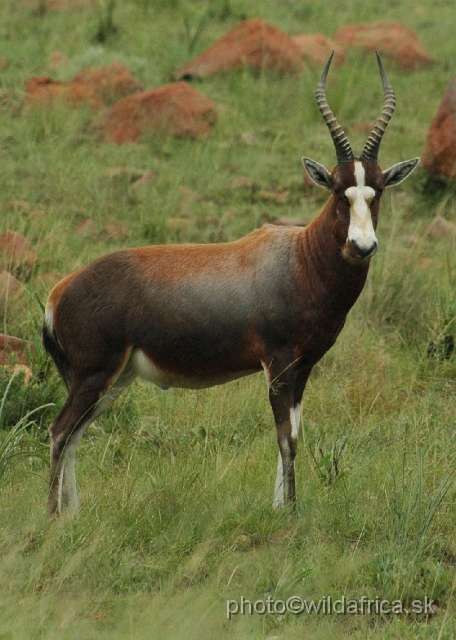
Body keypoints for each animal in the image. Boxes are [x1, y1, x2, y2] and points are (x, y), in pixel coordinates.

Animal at [43, 52, 420, 516]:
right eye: (337, 190)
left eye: (378, 191)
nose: (362, 246)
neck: (298, 256)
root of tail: (59, 292)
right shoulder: (278, 363)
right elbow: (286, 439)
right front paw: (290, 513)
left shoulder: (304, 368)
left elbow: (294, 434)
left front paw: (280, 508)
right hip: (94, 374)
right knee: (61, 431)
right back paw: (54, 517)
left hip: (113, 379)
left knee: (75, 434)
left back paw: (73, 513)